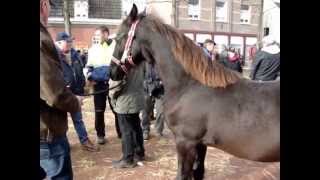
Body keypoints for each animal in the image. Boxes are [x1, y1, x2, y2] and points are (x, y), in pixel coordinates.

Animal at [110, 4, 280, 180]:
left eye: (118, 38)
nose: (112, 72)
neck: (189, 86)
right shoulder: (200, 144)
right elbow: (198, 171)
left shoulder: (185, 142)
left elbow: (183, 175)